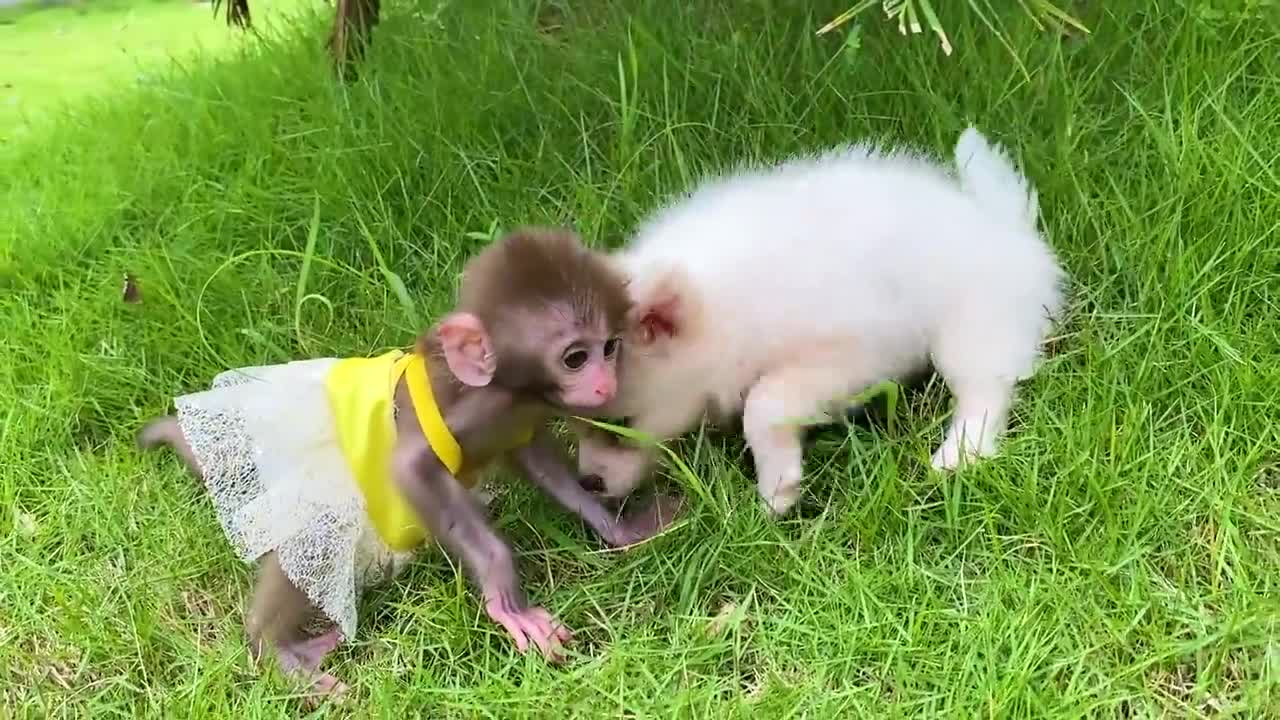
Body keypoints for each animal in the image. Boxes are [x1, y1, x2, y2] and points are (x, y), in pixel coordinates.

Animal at [137, 228, 680, 702]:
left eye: (609, 347)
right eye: (575, 358)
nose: (606, 383)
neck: (510, 392)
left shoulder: (520, 418)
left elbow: (541, 464)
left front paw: (617, 528)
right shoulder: (471, 410)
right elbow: (411, 467)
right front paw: (506, 598)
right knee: (317, 532)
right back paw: (275, 649)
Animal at [578, 124, 1059, 515]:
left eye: (621, 426)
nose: (587, 483)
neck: (725, 305)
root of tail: (1007, 228)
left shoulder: (853, 355)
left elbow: (763, 402)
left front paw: (776, 487)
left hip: (970, 325)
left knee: (985, 389)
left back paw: (960, 454)